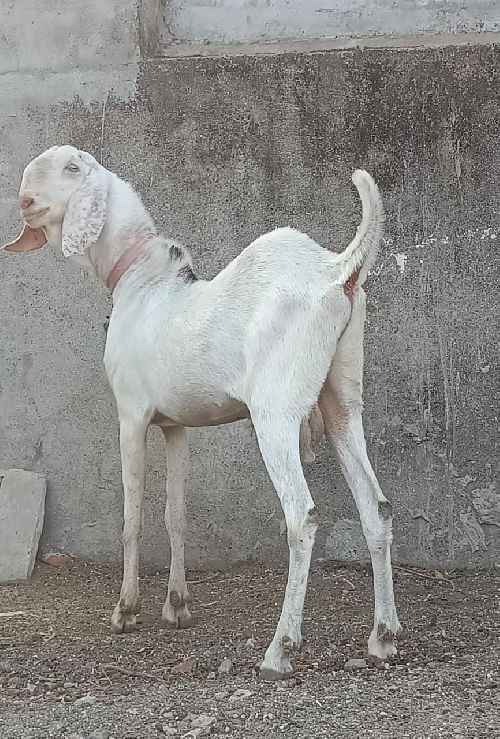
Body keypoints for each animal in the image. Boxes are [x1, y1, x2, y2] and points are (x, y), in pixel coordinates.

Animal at [2, 145, 401, 679]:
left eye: (71, 168)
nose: (25, 200)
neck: (143, 284)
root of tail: (337, 271)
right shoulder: (176, 426)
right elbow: (176, 513)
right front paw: (177, 606)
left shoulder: (131, 416)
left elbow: (131, 516)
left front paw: (126, 611)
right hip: (342, 400)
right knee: (376, 507)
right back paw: (383, 637)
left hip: (275, 413)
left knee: (302, 515)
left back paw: (280, 648)